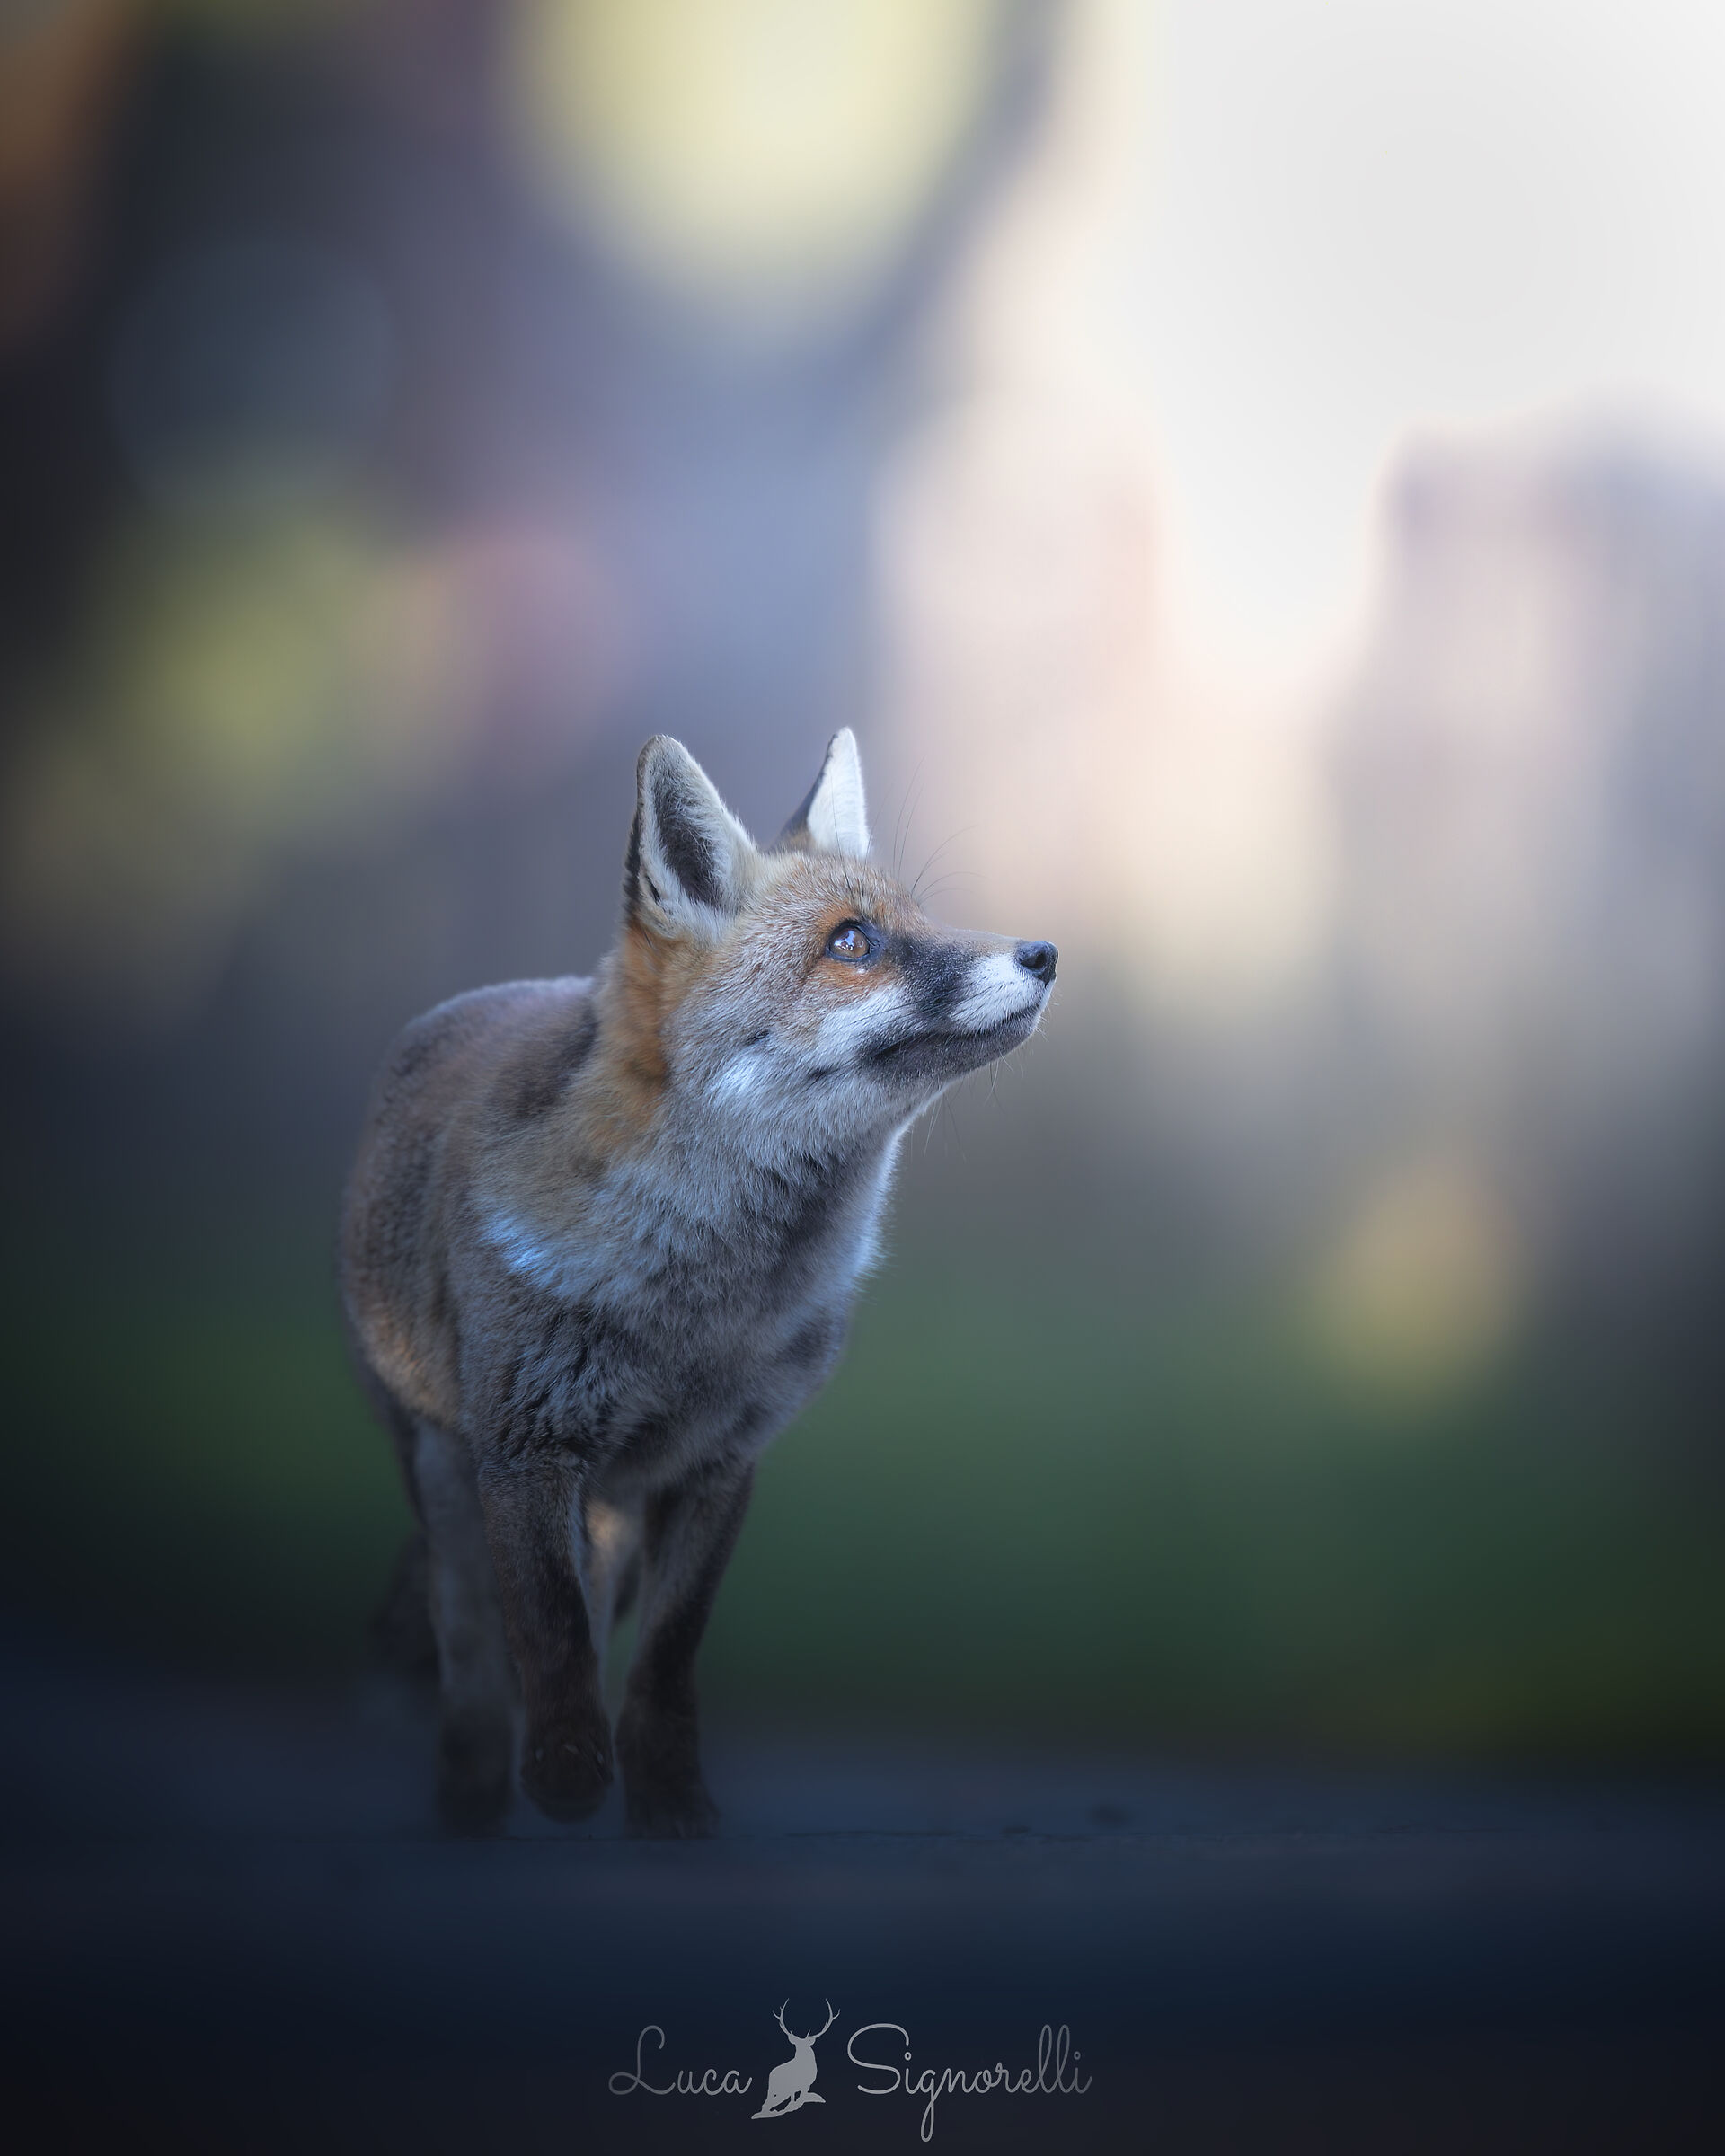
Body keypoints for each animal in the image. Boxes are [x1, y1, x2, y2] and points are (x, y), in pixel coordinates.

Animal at [340, 729, 1056, 1835]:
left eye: (920, 920)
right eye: (853, 943)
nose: (1044, 955)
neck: (702, 1311)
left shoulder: (718, 1463)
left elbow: (665, 1667)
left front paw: (672, 1810)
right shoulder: (526, 1450)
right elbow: (551, 1638)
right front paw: (568, 1775)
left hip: (610, 1514)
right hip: (447, 1481)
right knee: (471, 1654)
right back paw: (473, 1800)